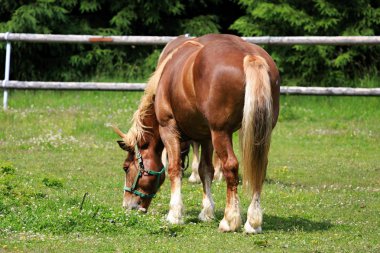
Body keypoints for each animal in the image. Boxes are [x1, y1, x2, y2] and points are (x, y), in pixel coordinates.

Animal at [113, 34, 280, 233]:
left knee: (231, 167)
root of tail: (250, 56)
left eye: (126, 167)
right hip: (256, 135)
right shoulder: (205, 136)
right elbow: (206, 170)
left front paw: (175, 214)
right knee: (259, 168)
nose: (127, 205)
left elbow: (174, 168)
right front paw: (206, 212)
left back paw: (229, 220)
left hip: (221, 133)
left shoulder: (169, 128)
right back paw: (253, 222)